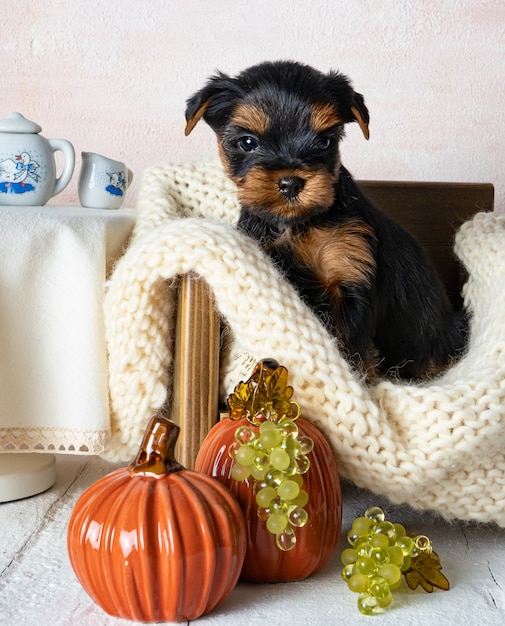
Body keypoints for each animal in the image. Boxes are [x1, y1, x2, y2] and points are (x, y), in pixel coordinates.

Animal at [186, 61, 468, 378]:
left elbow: (350, 348)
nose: (291, 183)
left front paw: (354, 382)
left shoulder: (348, 274)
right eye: (248, 142)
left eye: (324, 141)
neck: (295, 224)